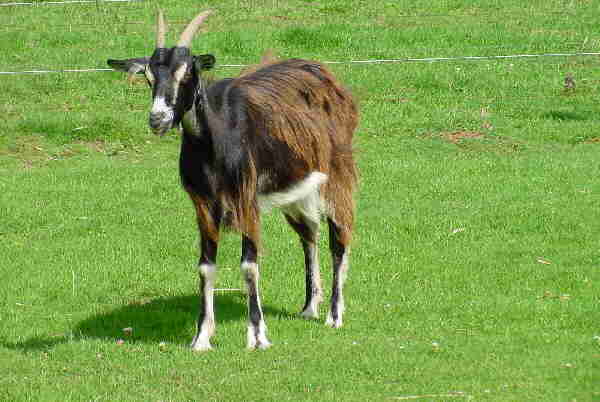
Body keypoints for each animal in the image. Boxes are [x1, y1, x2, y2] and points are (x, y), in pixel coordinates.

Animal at [110, 8, 358, 348]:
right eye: (149, 76)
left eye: (187, 73)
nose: (158, 119)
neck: (216, 138)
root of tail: (325, 76)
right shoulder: (203, 203)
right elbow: (205, 267)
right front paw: (201, 337)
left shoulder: (245, 197)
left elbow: (249, 264)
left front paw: (257, 335)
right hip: (295, 189)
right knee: (309, 234)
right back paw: (309, 307)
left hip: (336, 174)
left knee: (338, 236)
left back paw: (334, 315)